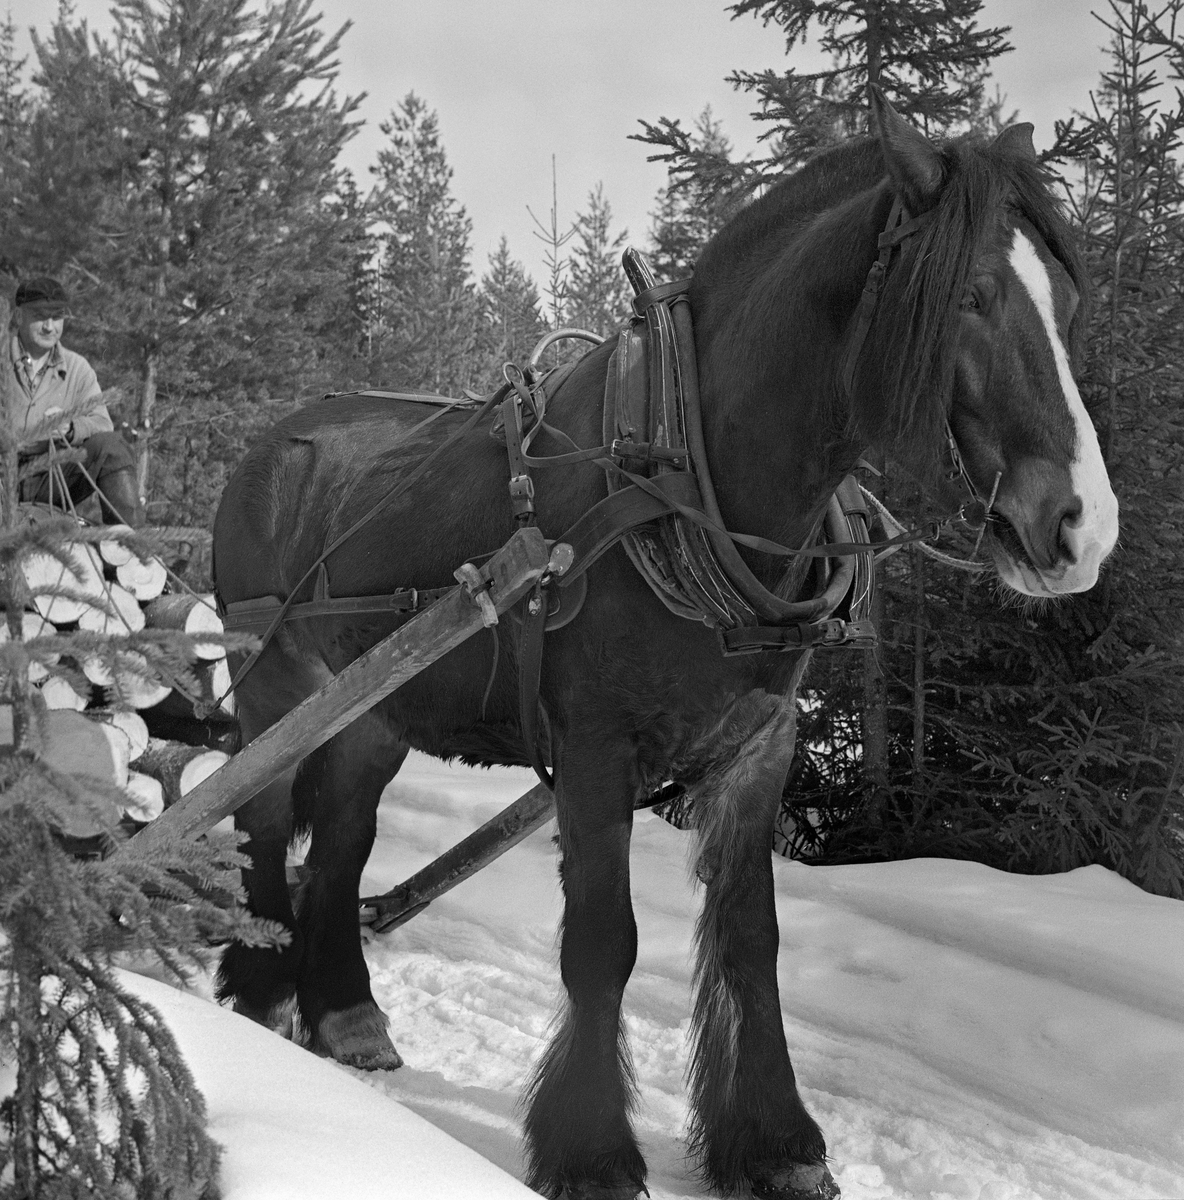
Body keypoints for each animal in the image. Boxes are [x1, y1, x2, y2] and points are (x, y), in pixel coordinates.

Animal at [211, 93, 1118, 1200]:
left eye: (1066, 305)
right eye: (971, 295)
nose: (1083, 528)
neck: (692, 477)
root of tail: (272, 441)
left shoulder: (758, 745)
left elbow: (750, 940)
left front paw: (774, 1143)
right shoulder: (597, 748)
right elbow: (603, 943)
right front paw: (593, 1149)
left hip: (374, 709)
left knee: (340, 842)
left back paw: (344, 1011)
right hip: (275, 685)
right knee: (261, 826)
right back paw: (258, 986)